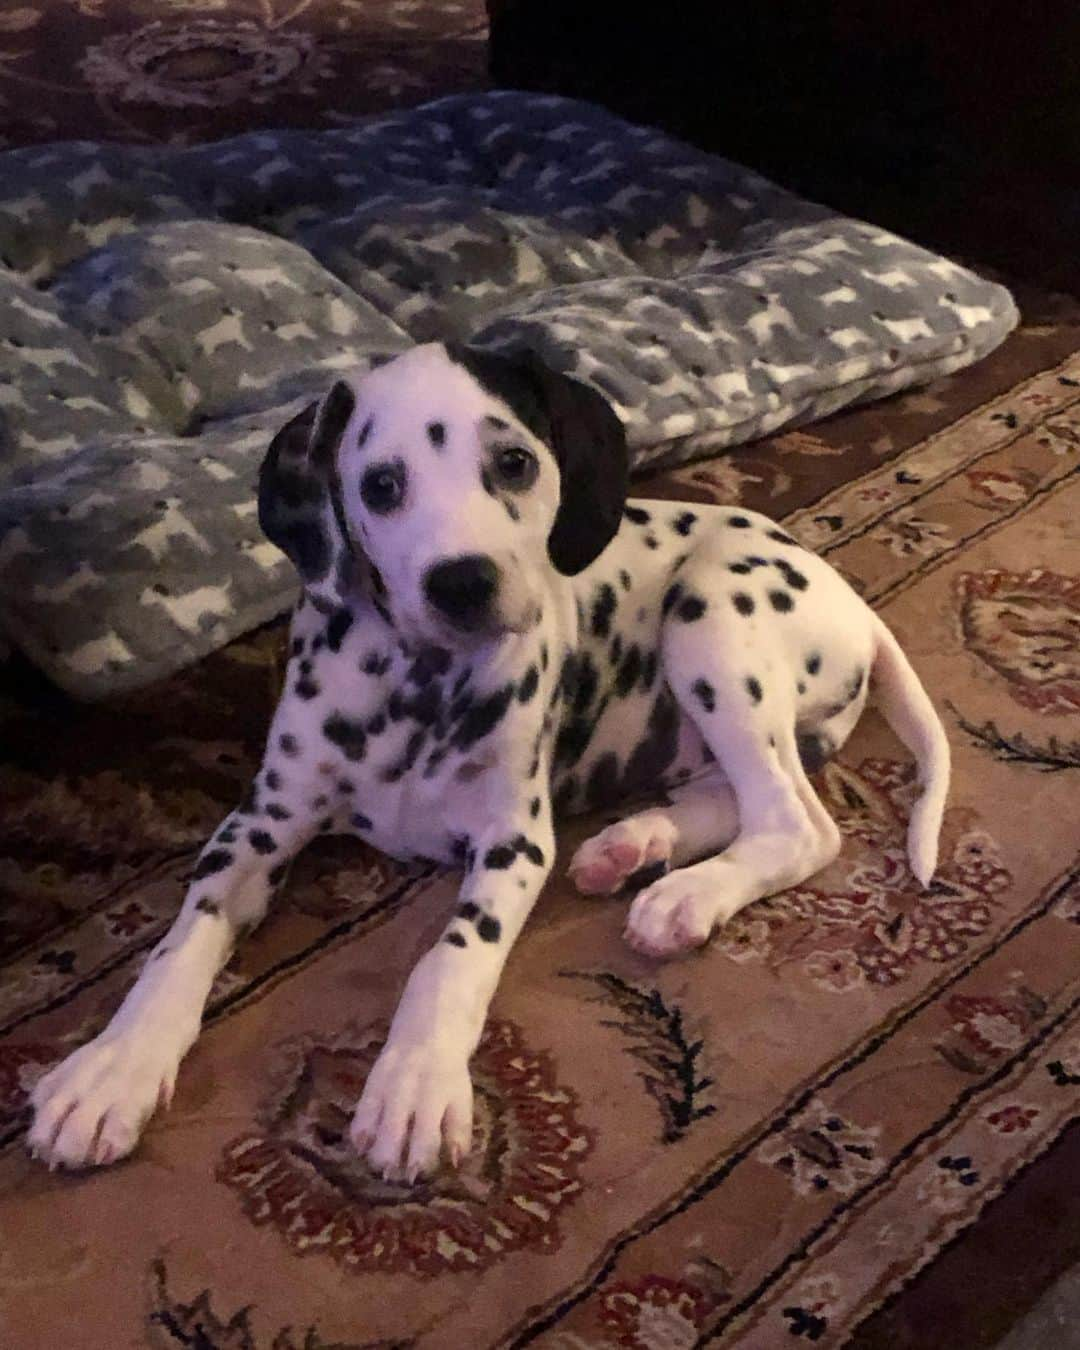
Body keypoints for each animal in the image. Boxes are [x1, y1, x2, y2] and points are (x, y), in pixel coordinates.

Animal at [29, 340, 950, 1182]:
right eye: (381, 485)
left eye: (513, 462)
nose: (462, 581)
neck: (416, 688)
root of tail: (855, 605)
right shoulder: (258, 824)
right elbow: (179, 946)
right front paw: (111, 1069)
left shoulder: (513, 842)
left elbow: (451, 959)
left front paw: (414, 1084)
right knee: (735, 797)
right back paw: (634, 847)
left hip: (712, 616)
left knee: (797, 823)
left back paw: (686, 896)